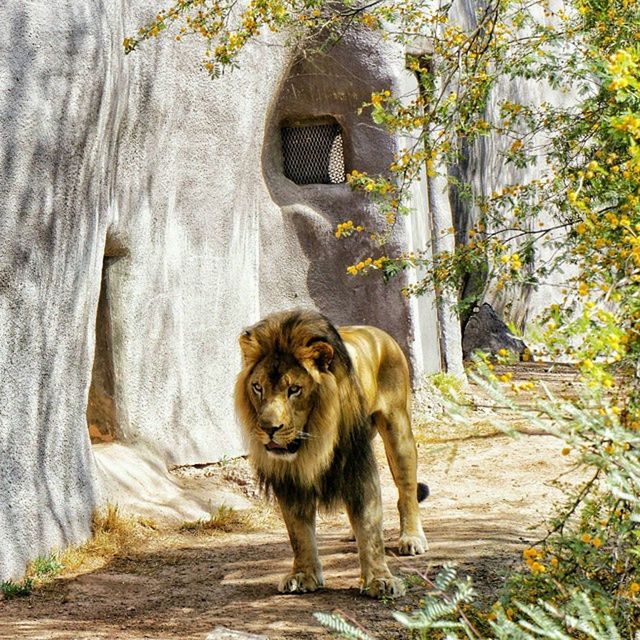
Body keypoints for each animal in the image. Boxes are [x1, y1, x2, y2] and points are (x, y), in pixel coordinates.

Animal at [232, 308, 428, 596]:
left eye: (294, 390)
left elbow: (369, 524)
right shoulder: (288, 474)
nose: (269, 428)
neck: (314, 436)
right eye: (258, 387)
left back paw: (412, 537)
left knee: (406, 490)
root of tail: (378, 332)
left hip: (398, 429)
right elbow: (298, 531)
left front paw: (379, 580)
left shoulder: (356, 459)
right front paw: (303, 575)